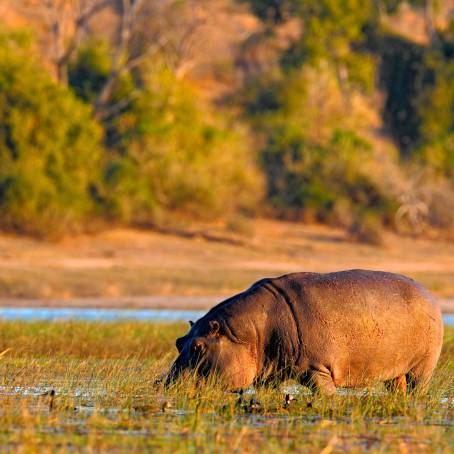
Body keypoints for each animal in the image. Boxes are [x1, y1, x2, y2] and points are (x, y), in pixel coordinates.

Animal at [167, 270, 444, 394]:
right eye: (179, 342)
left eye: (198, 347)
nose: (165, 383)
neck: (249, 333)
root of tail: (430, 294)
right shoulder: (269, 373)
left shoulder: (317, 368)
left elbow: (326, 394)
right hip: (395, 369)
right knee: (397, 387)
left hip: (424, 365)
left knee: (418, 385)